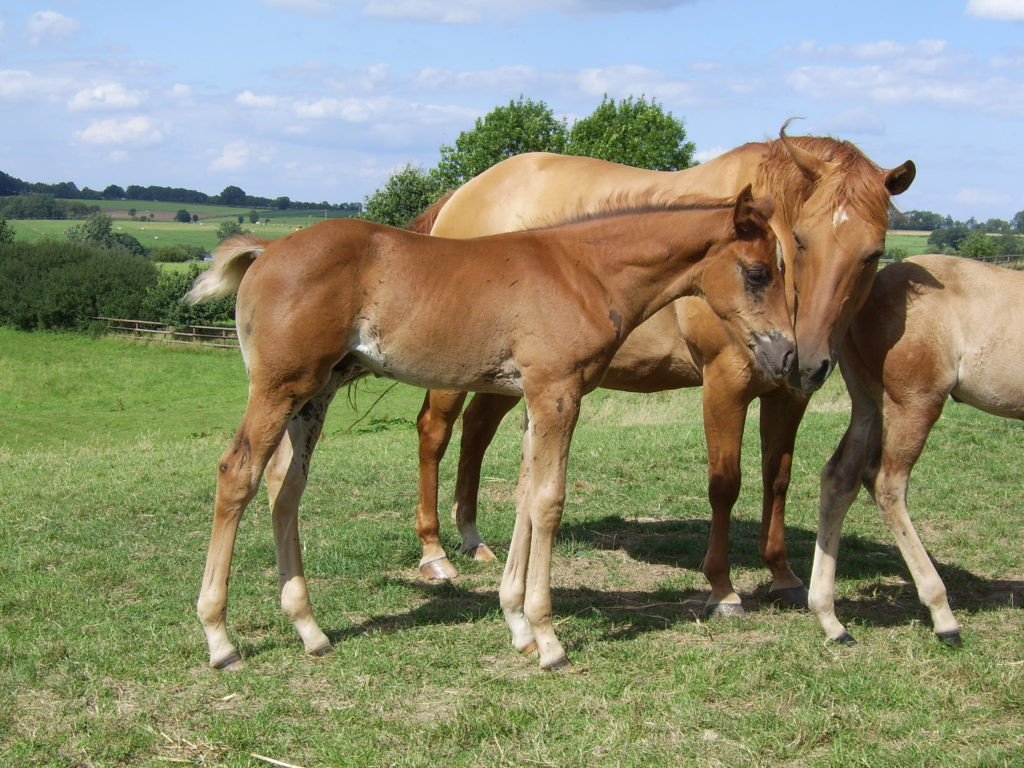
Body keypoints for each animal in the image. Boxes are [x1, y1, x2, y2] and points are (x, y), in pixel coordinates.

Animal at [186, 189, 790, 671]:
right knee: (237, 473)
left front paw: (518, 626)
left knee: (286, 487)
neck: (586, 271)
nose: (785, 353)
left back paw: (310, 630)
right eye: (759, 272)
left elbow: (525, 497)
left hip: (316, 391)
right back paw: (221, 640)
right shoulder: (557, 393)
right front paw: (548, 639)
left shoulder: (534, 400)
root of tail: (267, 250)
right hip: (281, 386)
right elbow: (549, 501)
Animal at [405, 126, 913, 618]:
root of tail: (466, 192)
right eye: (801, 240)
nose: (804, 361)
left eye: (873, 253)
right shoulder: (724, 385)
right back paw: (435, 553)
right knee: (435, 432)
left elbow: (777, 478)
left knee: (477, 430)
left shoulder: (788, 397)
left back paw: (472, 537)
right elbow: (725, 484)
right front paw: (723, 590)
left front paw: (783, 576)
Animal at [815, 256, 1024, 647]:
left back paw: (830, 619)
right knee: (888, 486)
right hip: (914, 404)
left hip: (869, 405)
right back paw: (943, 615)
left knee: (840, 478)